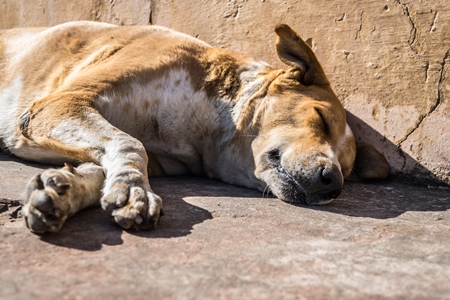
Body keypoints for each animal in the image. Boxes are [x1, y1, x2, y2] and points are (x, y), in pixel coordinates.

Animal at [0, 22, 386, 233]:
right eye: (320, 118)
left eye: (347, 169)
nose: (333, 182)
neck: (204, 127)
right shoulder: (59, 104)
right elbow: (130, 144)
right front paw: (135, 191)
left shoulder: (155, 159)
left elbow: (103, 168)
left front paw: (62, 191)